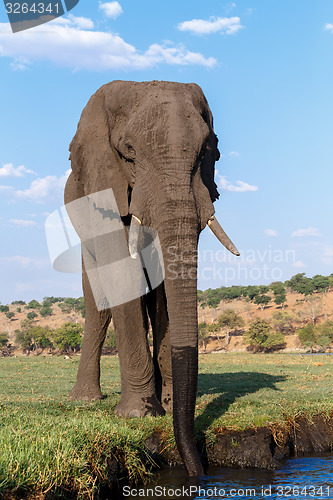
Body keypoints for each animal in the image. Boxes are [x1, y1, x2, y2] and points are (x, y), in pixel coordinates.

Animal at [63, 79, 237, 476]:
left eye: (208, 152)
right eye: (128, 153)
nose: (198, 474)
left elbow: (163, 289)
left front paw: (167, 407)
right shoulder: (104, 187)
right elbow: (122, 274)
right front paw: (137, 416)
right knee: (98, 302)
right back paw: (86, 400)